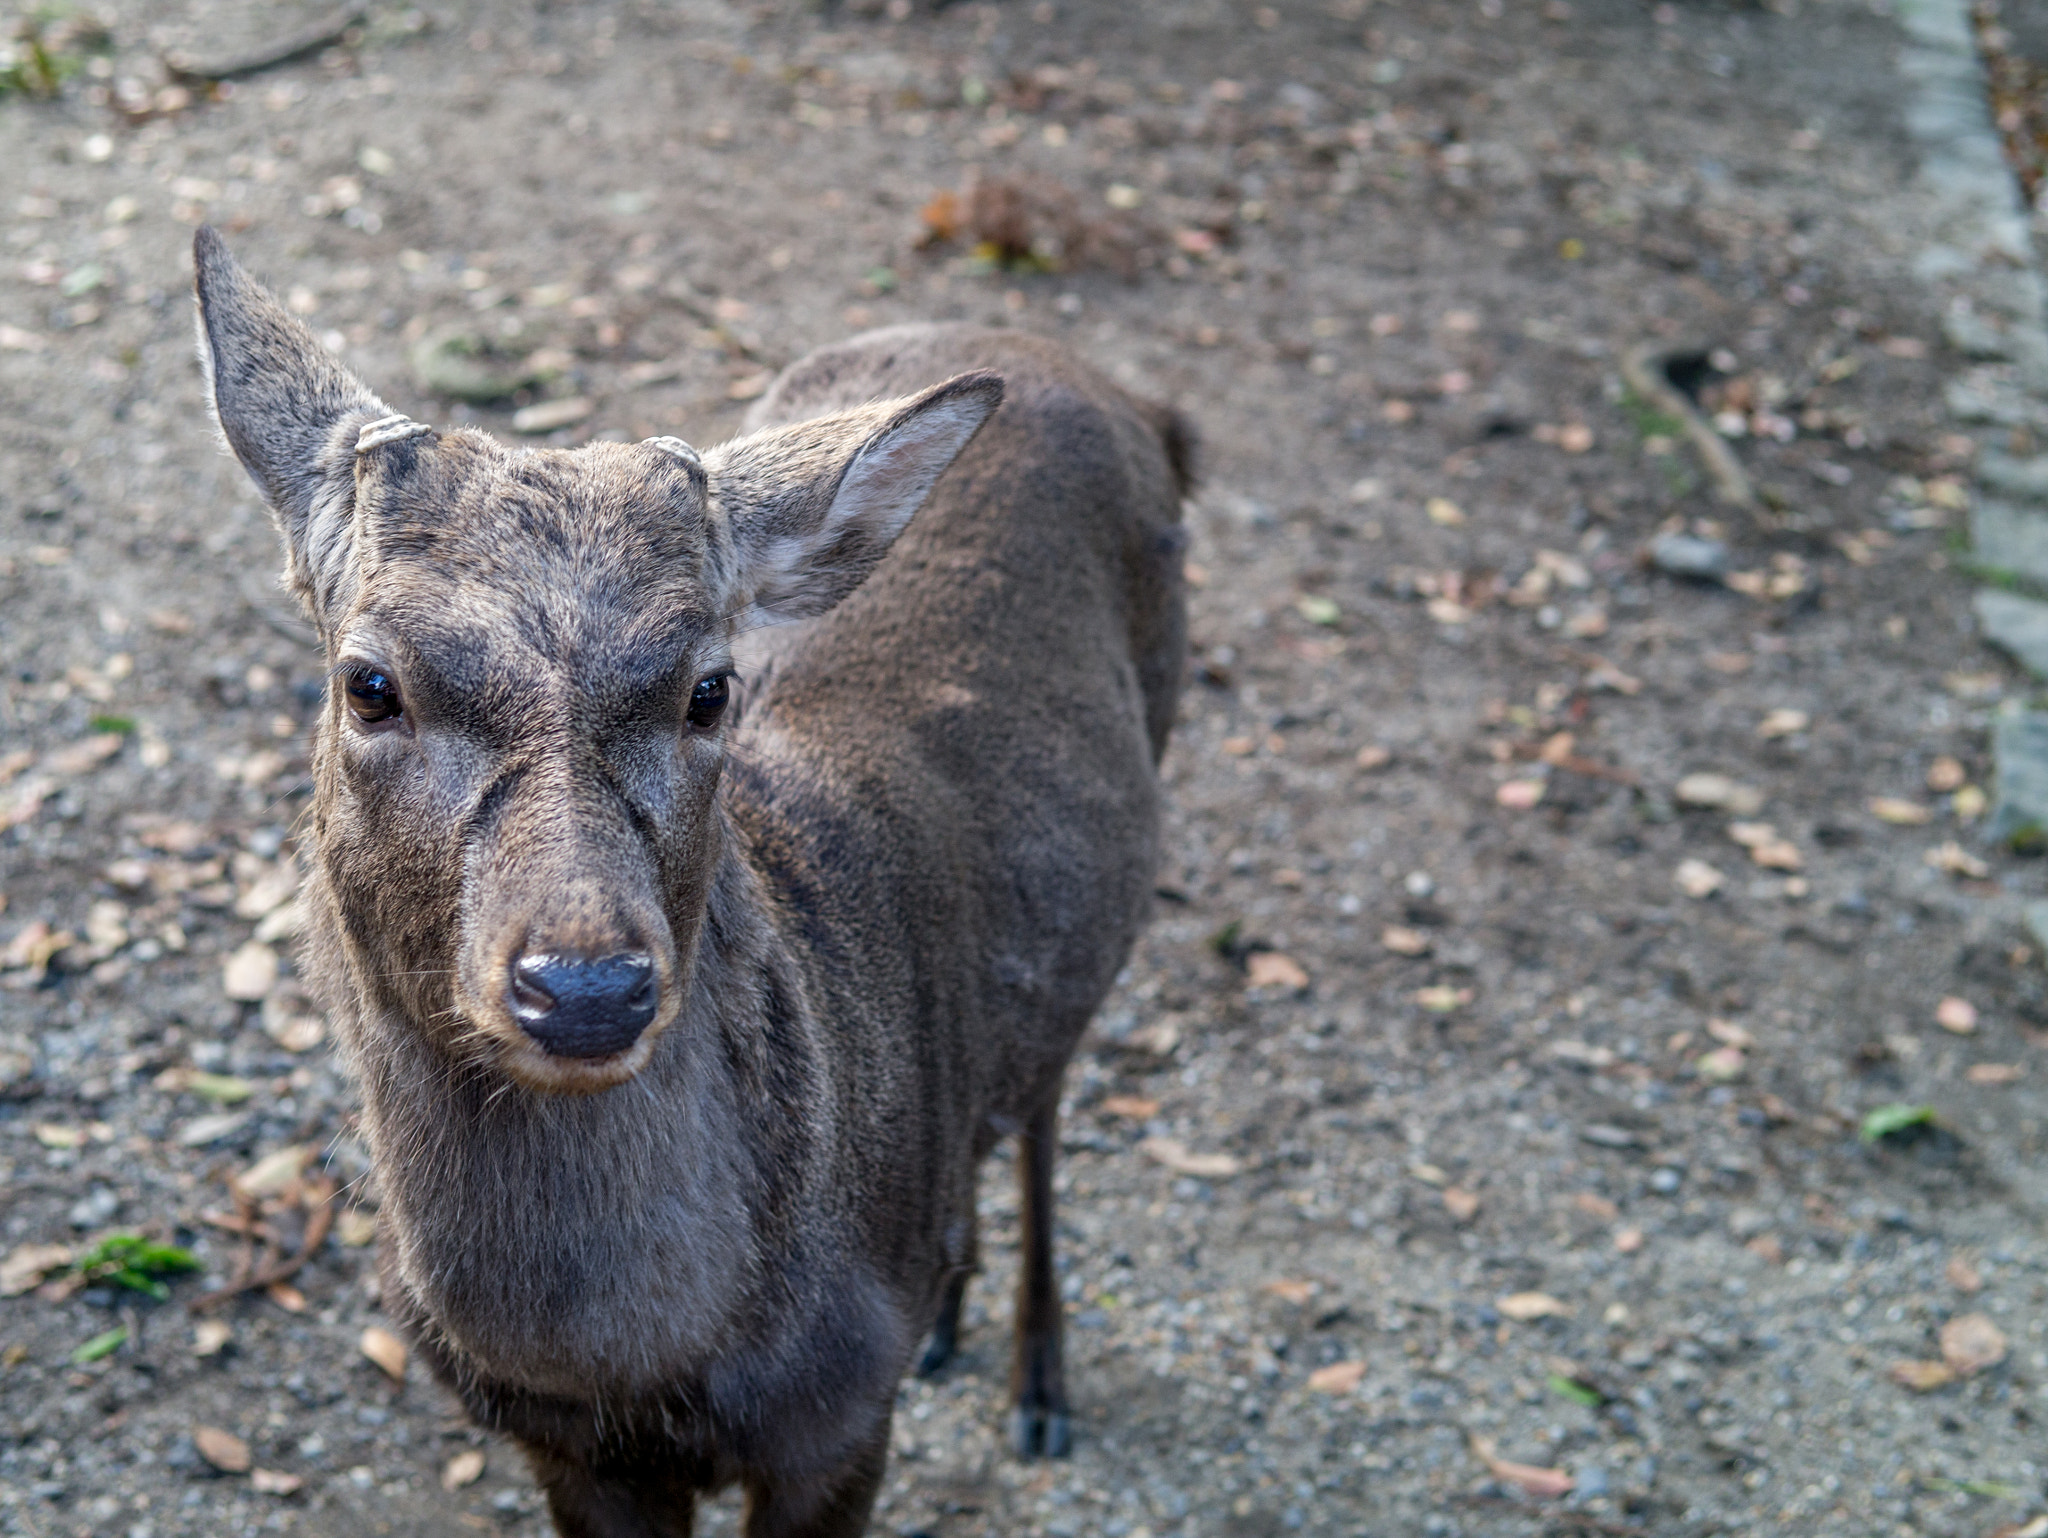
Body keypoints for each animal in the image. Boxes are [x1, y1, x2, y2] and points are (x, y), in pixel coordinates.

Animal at [192, 228, 1196, 1538]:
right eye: (369, 683)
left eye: (709, 688)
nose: (584, 987)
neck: (641, 1369)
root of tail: (1139, 402)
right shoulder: (566, 1452)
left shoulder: (839, 1426)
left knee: (1044, 1100)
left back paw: (1036, 1381)